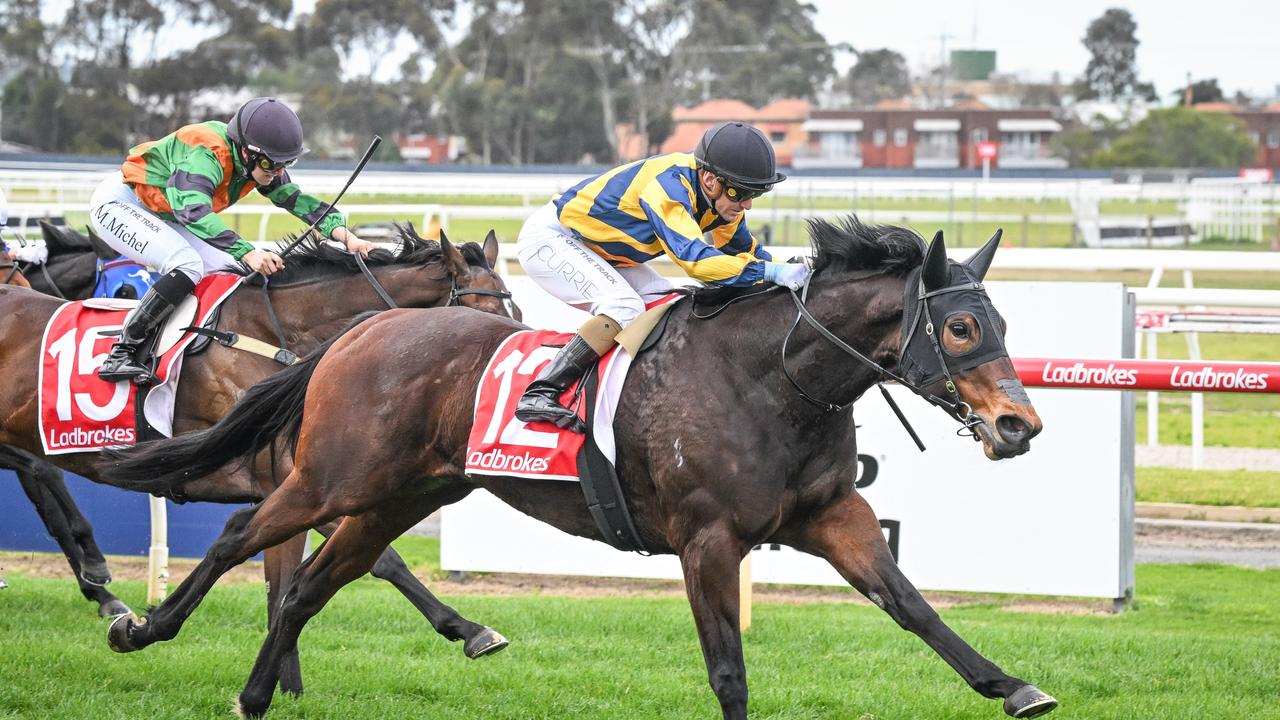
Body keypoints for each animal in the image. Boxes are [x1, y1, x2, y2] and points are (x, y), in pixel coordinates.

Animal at [3, 226, 514, 691]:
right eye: (485, 311)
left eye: (514, 308)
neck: (275, 335)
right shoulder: (295, 481)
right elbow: (351, 563)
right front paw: (282, 681)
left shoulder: (308, 483)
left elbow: (375, 561)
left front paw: (471, 631)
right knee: (41, 472)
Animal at [99, 219, 1054, 717]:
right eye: (961, 327)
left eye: (1000, 321)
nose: (1020, 425)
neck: (773, 378)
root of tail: (362, 330)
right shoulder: (708, 539)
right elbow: (728, 666)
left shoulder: (830, 516)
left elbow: (912, 606)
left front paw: (1012, 685)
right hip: (332, 478)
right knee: (238, 536)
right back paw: (140, 627)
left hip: (399, 495)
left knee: (306, 586)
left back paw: (257, 694)